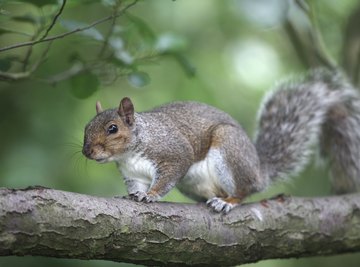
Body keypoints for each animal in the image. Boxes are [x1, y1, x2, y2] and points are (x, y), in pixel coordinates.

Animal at [81, 69, 360, 214]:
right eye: (86, 127)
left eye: (112, 128)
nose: (87, 152)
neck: (132, 151)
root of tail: (259, 172)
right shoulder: (132, 173)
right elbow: (135, 186)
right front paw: (134, 195)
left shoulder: (173, 153)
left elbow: (167, 177)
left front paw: (151, 195)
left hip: (229, 152)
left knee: (243, 191)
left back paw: (228, 202)